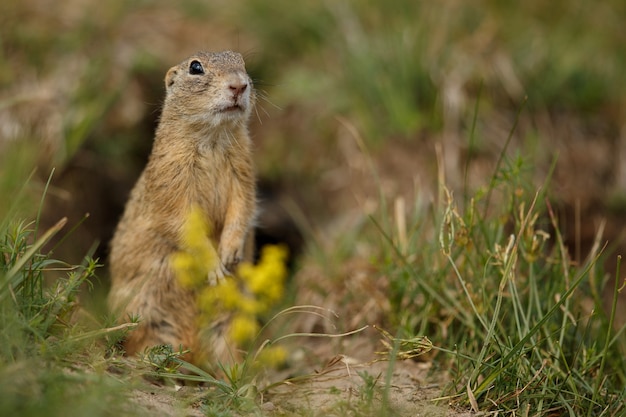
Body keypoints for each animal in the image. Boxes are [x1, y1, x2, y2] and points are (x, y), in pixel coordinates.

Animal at [108, 49, 256, 364]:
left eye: (242, 62)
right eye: (195, 67)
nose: (239, 85)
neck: (212, 138)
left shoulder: (244, 173)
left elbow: (242, 207)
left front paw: (230, 253)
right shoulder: (172, 180)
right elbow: (183, 223)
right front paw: (215, 268)